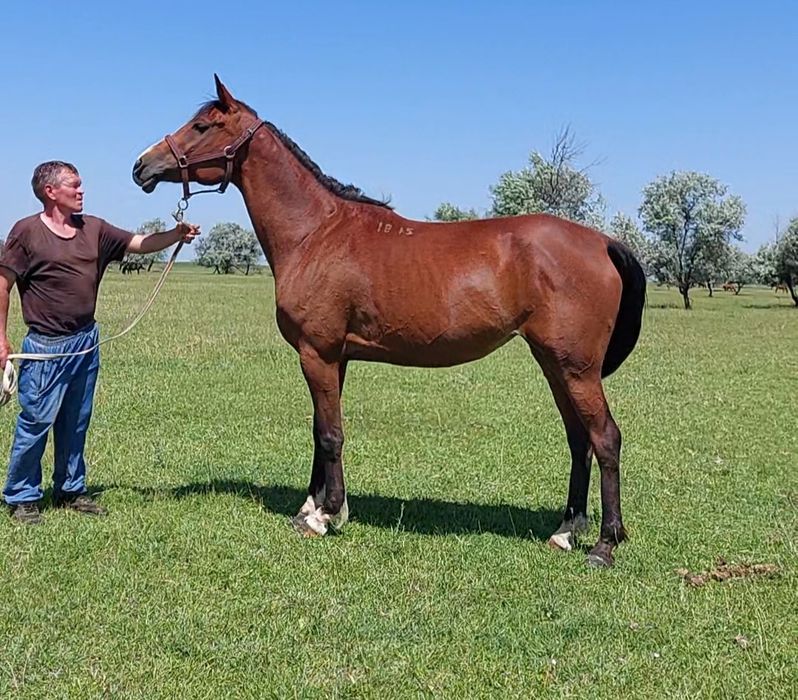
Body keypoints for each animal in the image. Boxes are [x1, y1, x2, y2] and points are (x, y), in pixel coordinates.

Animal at [132, 76, 646, 567]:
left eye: (202, 126)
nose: (141, 165)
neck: (316, 233)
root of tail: (602, 242)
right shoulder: (333, 358)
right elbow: (320, 431)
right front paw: (312, 507)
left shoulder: (316, 354)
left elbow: (331, 434)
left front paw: (325, 516)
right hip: (555, 364)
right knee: (579, 439)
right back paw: (566, 531)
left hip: (576, 369)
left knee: (605, 439)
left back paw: (604, 545)